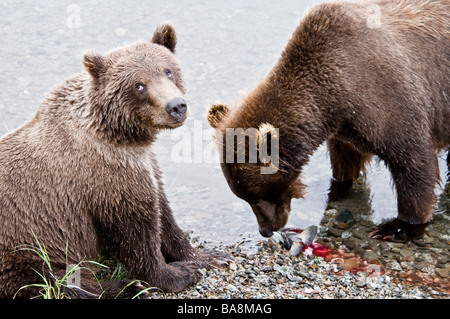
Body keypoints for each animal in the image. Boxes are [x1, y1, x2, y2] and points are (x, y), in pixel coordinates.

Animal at [0, 23, 230, 300]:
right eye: (139, 85)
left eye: (168, 71)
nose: (176, 106)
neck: (124, 138)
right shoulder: (107, 176)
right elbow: (136, 233)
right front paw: (177, 273)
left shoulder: (145, 165)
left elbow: (164, 215)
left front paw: (209, 256)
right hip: (21, 247)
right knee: (51, 281)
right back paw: (124, 287)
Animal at [208, 0, 450, 242]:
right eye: (243, 196)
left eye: (259, 194)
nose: (265, 230)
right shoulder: (346, 127)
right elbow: (345, 158)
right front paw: (336, 187)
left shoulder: (388, 96)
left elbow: (413, 163)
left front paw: (399, 226)